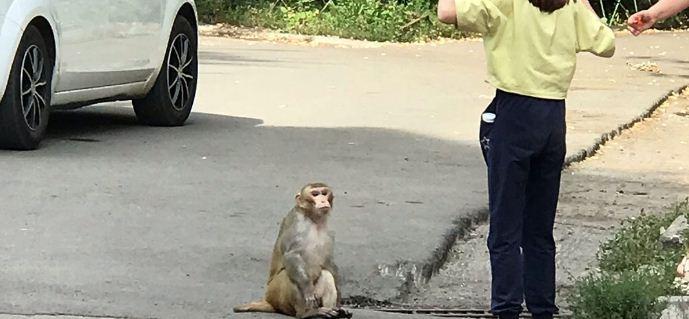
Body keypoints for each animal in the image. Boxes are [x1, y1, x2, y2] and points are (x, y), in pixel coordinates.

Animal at [234, 182, 352, 319]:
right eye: (315, 194)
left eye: (324, 193)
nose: (323, 200)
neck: (313, 220)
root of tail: (269, 301)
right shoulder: (298, 225)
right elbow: (291, 255)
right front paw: (306, 287)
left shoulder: (329, 232)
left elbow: (328, 261)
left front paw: (339, 300)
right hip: (276, 294)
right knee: (287, 274)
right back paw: (307, 313)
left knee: (327, 274)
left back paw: (334, 311)